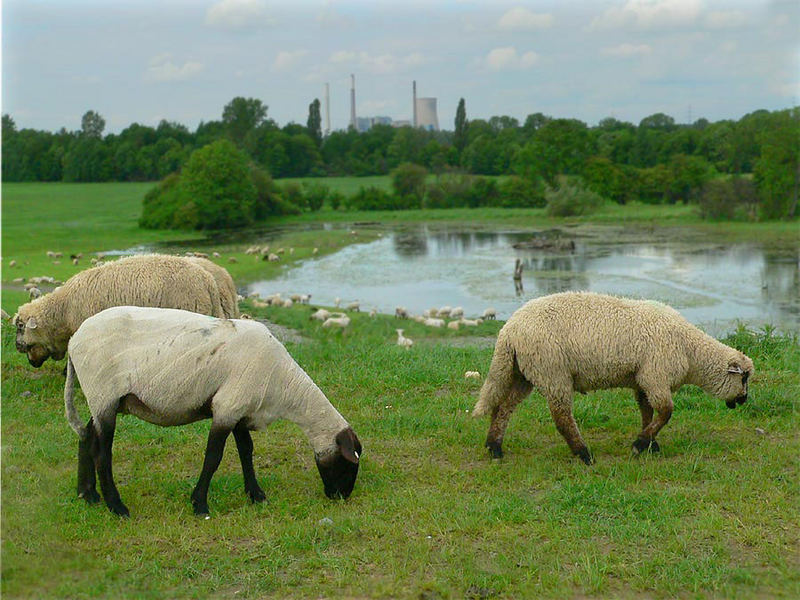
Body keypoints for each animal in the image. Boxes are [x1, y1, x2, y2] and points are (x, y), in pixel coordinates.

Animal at [64, 308, 364, 516]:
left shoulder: (240, 407)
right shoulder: (226, 408)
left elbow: (246, 451)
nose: (341, 496)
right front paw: (199, 504)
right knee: (101, 452)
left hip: (102, 399)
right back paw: (116, 507)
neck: (284, 385)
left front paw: (256, 495)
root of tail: (73, 340)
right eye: (350, 462)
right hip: (104, 395)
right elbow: (213, 457)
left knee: (86, 436)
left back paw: (87, 495)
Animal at [476, 292, 756, 466]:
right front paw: (640, 444)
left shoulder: (643, 379)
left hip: (524, 372)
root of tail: (509, 330)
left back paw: (494, 447)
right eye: (744, 379)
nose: (743, 401)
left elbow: (647, 412)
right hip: (552, 370)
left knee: (503, 407)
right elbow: (665, 412)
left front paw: (650, 443)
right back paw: (583, 454)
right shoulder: (655, 375)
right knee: (561, 417)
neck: (691, 351)